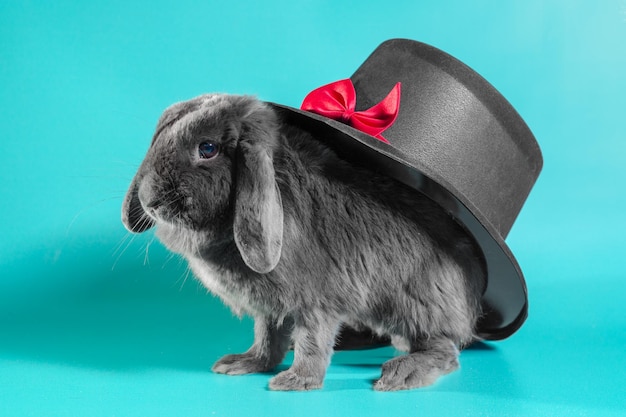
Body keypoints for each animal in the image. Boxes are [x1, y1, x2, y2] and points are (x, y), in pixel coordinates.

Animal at [120, 93, 482, 390]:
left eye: (207, 149)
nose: (150, 200)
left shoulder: (317, 302)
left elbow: (313, 342)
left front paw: (295, 381)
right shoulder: (271, 307)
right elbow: (267, 338)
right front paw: (241, 363)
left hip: (415, 306)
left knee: (443, 348)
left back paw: (400, 374)